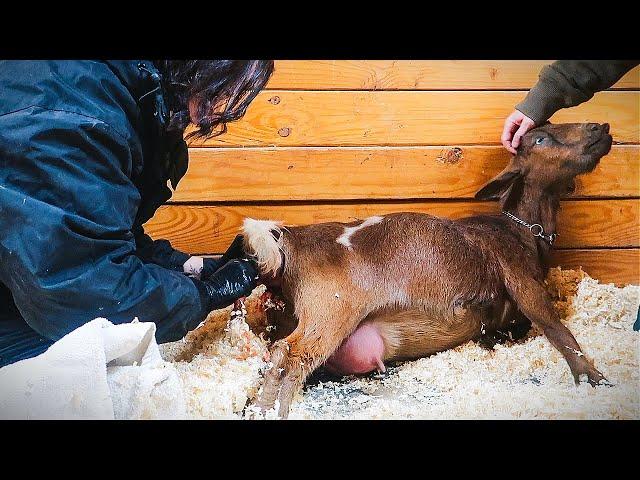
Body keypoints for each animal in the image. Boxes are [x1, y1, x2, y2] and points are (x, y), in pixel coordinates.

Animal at [242, 122, 612, 418]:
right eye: (539, 140)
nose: (600, 128)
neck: (518, 230)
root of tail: (293, 240)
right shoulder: (520, 278)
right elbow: (556, 329)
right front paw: (595, 379)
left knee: (279, 353)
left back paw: (260, 407)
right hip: (331, 310)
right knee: (292, 354)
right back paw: (276, 410)